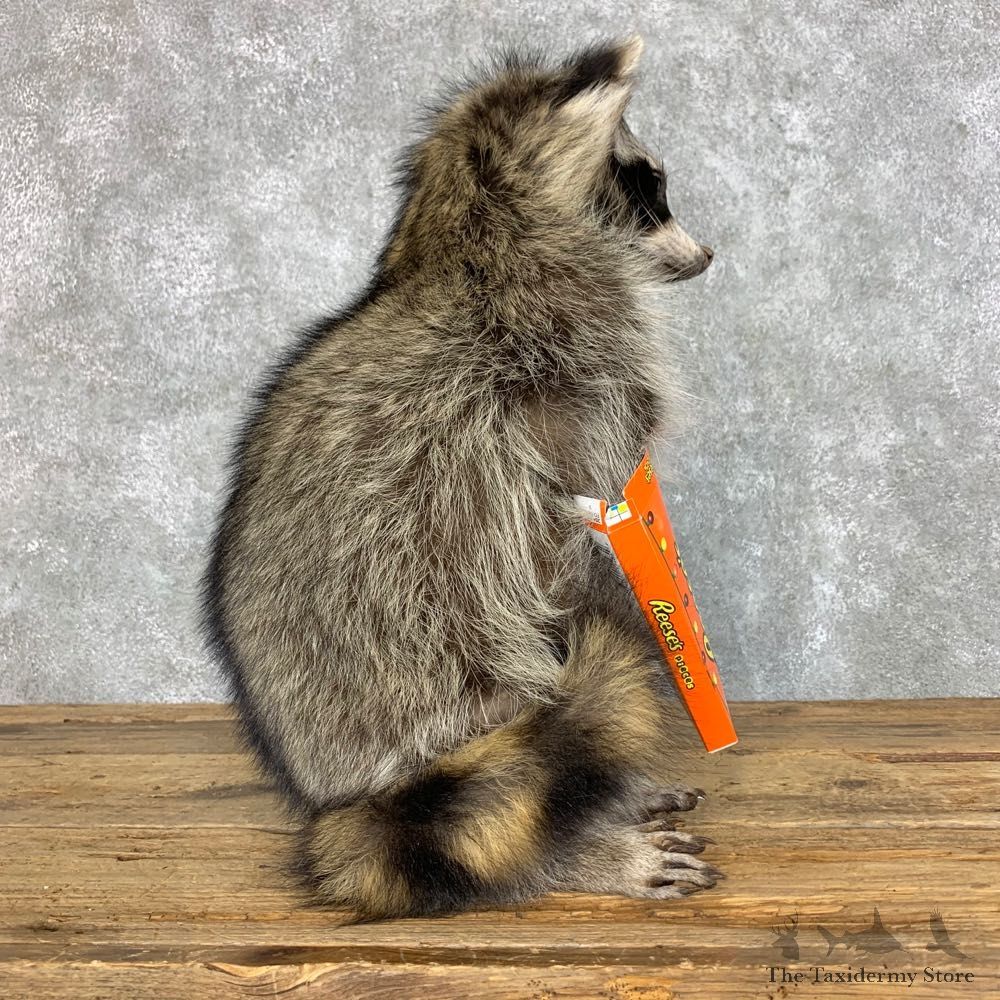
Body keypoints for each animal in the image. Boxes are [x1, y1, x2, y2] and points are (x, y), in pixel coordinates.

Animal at [202, 36, 719, 919]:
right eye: (650, 189)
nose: (709, 255)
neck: (459, 219)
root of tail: (349, 792)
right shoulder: (571, 344)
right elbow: (592, 480)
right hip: (451, 664)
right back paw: (581, 845)